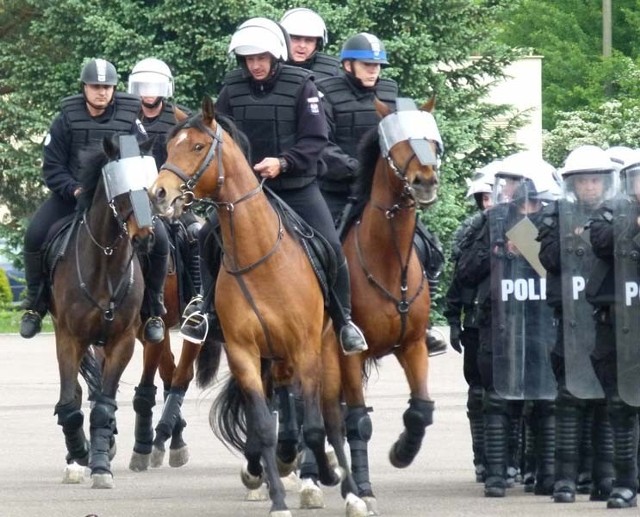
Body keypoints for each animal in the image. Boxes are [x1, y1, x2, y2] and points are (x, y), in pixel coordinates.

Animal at [48, 134, 156, 488]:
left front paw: (99, 464)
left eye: (152, 190)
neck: (106, 263)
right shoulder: (69, 338)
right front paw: (80, 452)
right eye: (121, 193)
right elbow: (70, 404)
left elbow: (104, 405)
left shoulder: (122, 341)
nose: (145, 239)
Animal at [148, 97, 364, 516]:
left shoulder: (306, 350)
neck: (260, 255)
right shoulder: (244, 353)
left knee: (332, 418)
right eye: (168, 148)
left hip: (326, 352)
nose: (158, 193)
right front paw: (274, 493)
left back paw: (350, 491)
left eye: (197, 146)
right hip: (272, 360)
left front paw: (324, 475)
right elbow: (262, 426)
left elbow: (316, 427)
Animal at [336, 97, 440, 512]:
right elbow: (358, 421)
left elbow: (421, 410)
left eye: (432, 140)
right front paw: (362, 490)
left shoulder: (411, 346)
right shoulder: (348, 355)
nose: (425, 181)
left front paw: (402, 451)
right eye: (399, 144)